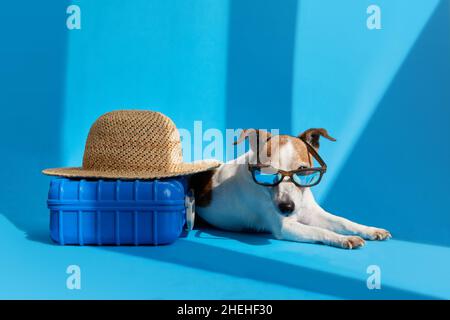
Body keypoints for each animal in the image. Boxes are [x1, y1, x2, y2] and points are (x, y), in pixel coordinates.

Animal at [190, 129, 390, 249]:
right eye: (267, 173)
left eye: (302, 170)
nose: (286, 207)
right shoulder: (285, 226)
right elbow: (319, 230)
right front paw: (342, 238)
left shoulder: (313, 213)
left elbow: (343, 222)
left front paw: (369, 230)